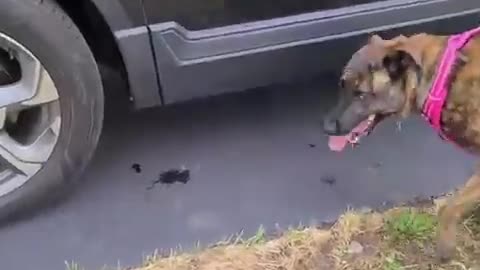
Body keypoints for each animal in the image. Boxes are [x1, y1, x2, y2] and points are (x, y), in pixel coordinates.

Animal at [322, 32, 480, 262]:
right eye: (342, 86)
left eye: (361, 94)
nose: (326, 128)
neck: (441, 78)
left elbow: (448, 209)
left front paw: (445, 245)